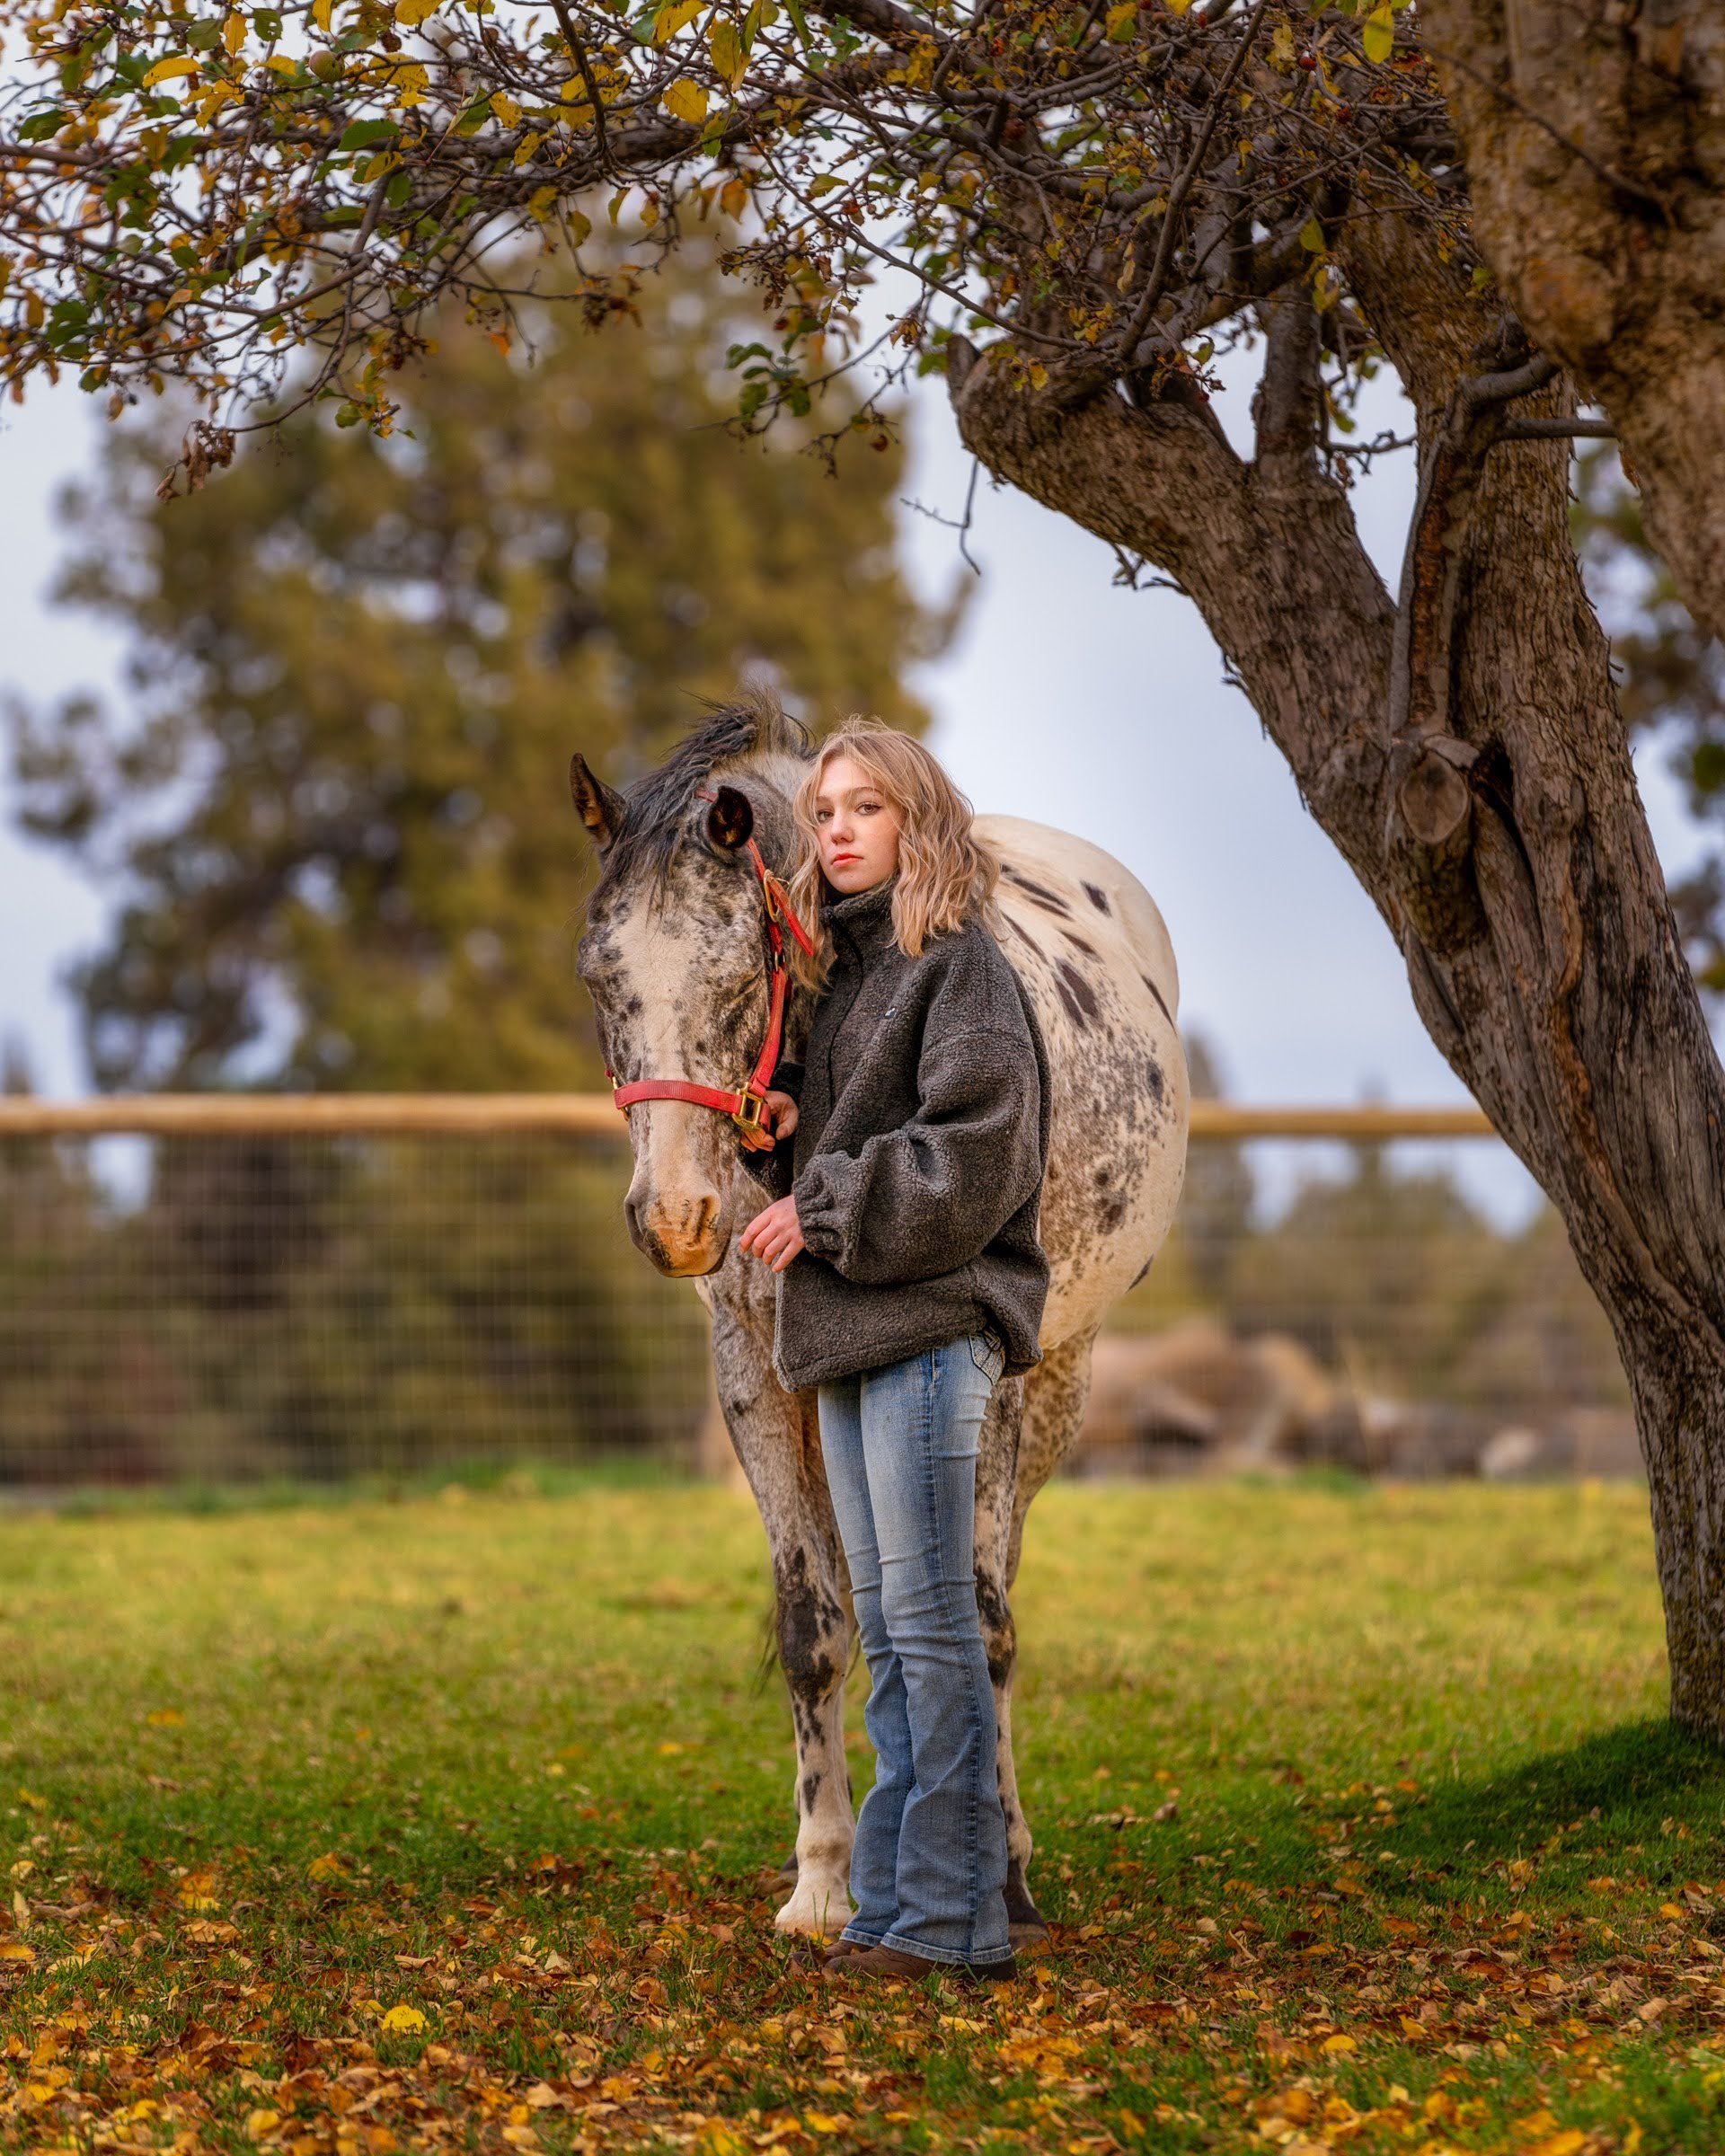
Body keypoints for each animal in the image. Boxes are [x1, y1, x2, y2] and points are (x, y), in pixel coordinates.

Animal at [569, 698, 1190, 1948]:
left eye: (734, 977)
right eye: (602, 979)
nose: (675, 1220)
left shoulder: (1002, 1375)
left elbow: (984, 1621)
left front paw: (1000, 1873)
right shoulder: (755, 1374)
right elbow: (814, 1626)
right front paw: (820, 1881)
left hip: (1064, 1378)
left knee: (990, 1596)